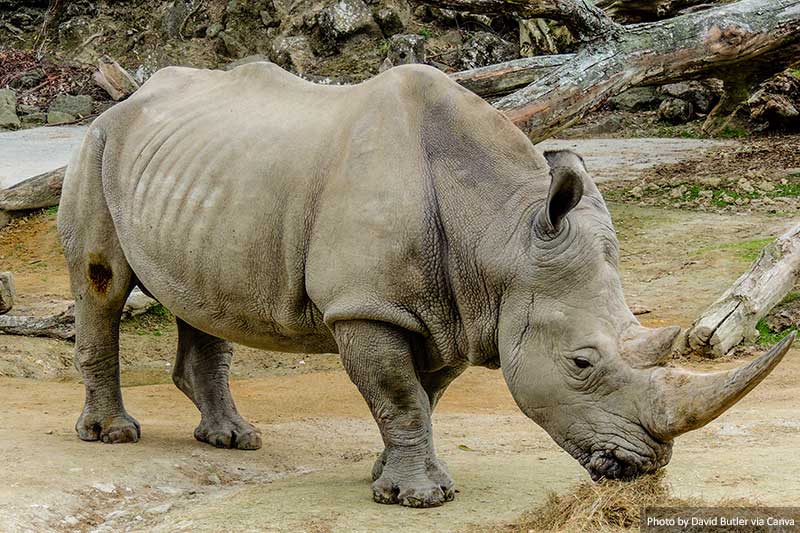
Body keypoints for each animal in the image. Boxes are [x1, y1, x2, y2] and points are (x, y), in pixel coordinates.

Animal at [57, 61, 792, 508]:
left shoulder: (452, 310)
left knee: (201, 298)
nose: (646, 467)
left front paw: (389, 480)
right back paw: (112, 435)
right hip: (97, 146)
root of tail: (130, 97)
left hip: (203, 173)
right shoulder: (368, 308)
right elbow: (399, 396)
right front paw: (422, 498)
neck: (499, 233)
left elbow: (423, 397)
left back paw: (233, 439)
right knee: (102, 284)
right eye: (582, 363)